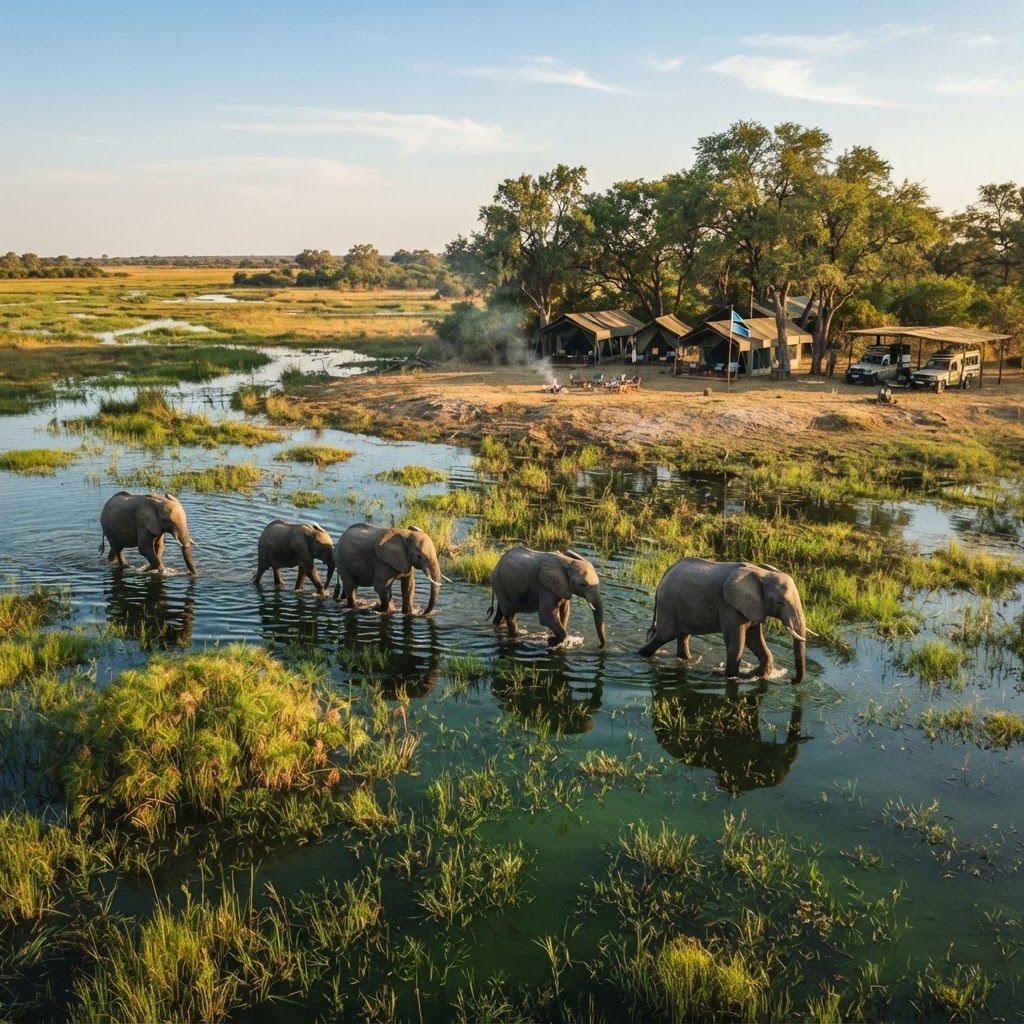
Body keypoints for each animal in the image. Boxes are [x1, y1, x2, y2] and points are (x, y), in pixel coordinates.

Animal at [637, 557, 808, 684]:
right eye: (780, 603)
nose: (791, 680)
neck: (762, 573)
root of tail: (664, 576)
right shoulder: (729, 606)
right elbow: (737, 642)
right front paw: (733, 677)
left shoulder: (754, 607)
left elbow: (754, 640)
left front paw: (755, 675)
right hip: (668, 603)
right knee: (664, 636)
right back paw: (641, 655)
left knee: (682, 635)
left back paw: (686, 660)